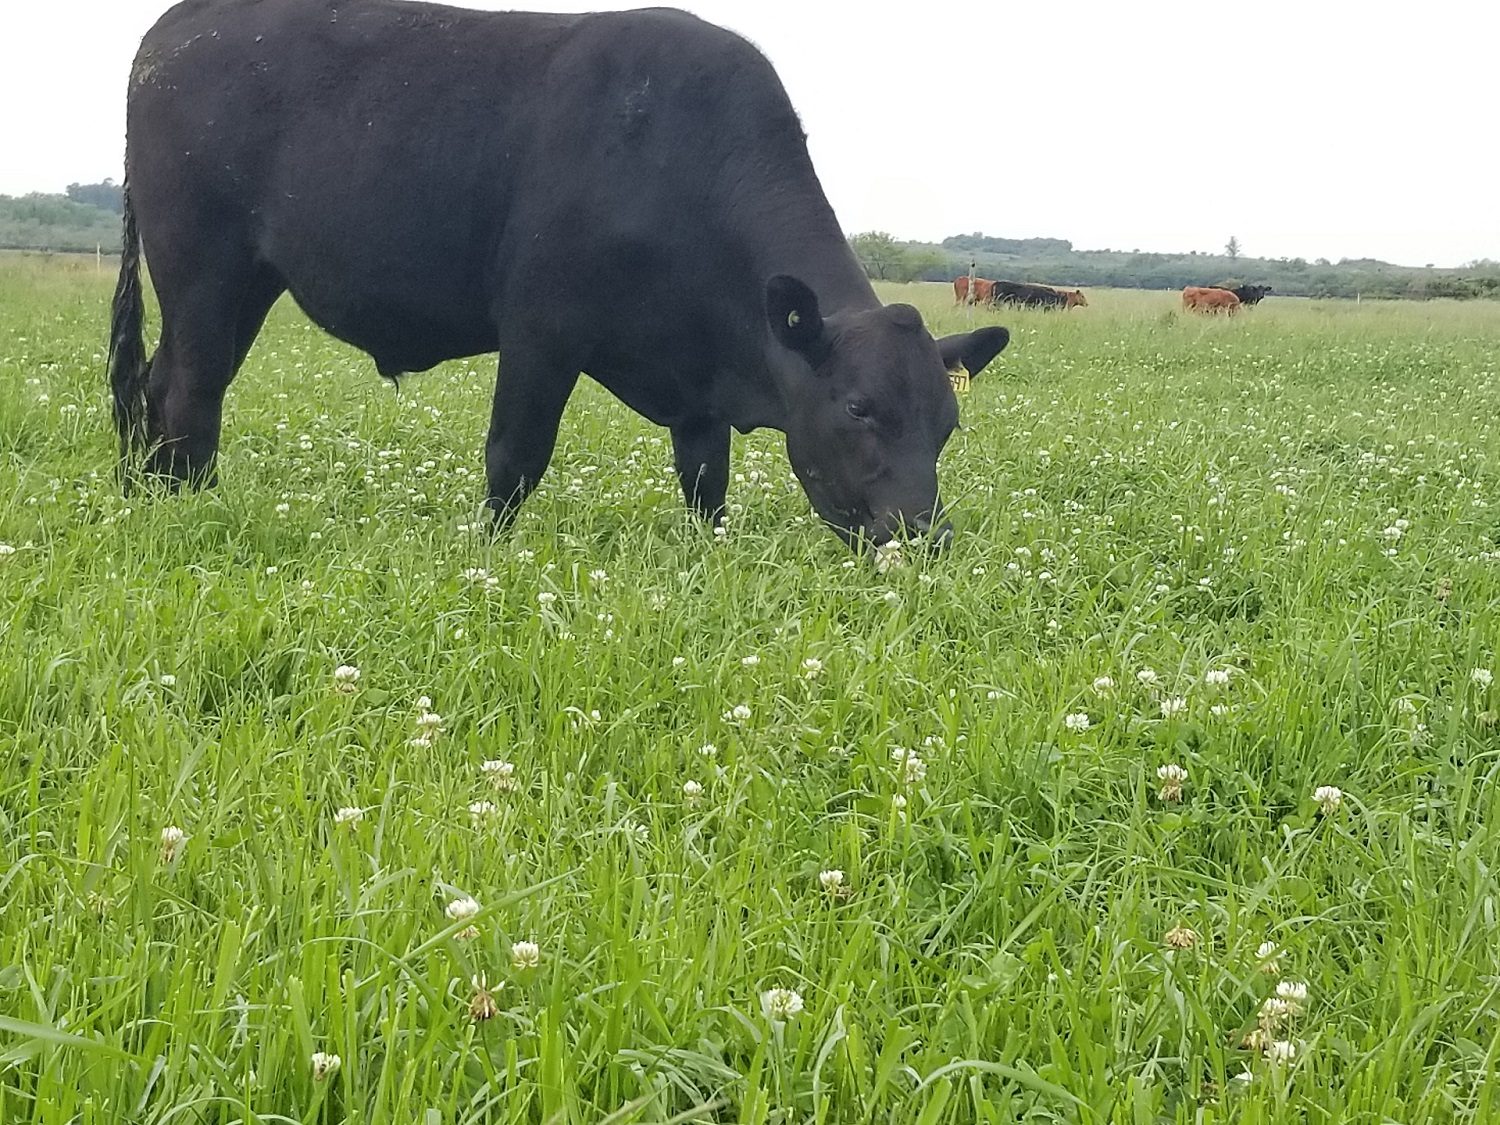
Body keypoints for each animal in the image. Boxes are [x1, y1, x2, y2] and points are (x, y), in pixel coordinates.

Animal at [108, 0, 1008, 552]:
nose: (927, 536)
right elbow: (514, 458)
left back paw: (143, 495)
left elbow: (706, 484)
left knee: (157, 384)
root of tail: (179, 25)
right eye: (858, 407)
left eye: (948, 422)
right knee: (189, 394)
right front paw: (487, 556)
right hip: (201, 267)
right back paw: (190, 509)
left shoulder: (698, 385)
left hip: (246, 282)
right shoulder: (541, 330)